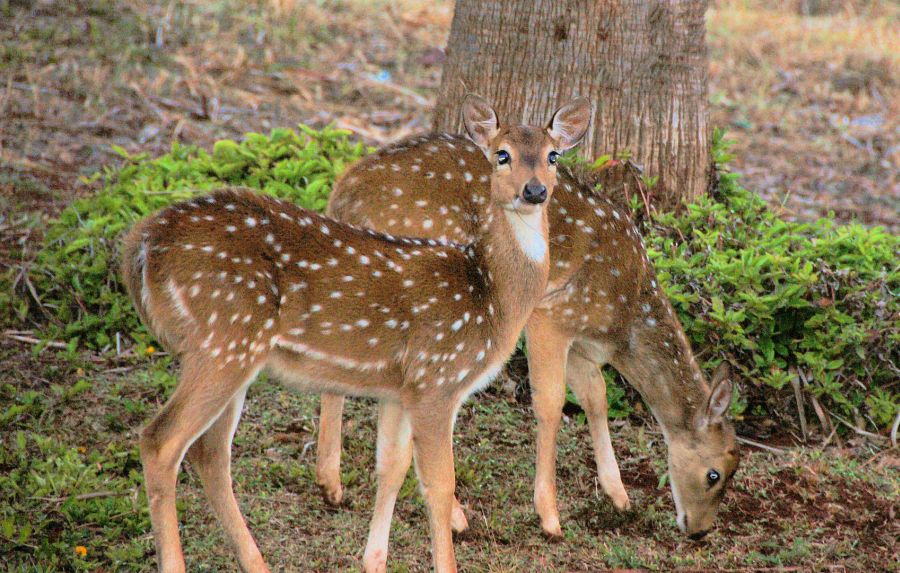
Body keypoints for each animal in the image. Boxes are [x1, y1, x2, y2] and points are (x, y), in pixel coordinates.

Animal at [121, 95, 596, 572]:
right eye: (502, 154)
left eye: (553, 156)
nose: (534, 191)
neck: (489, 296)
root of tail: (140, 247)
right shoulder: (436, 379)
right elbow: (439, 485)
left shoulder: (399, 389)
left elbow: (390, 467)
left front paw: (374, 560)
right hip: (223, 339)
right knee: (160, 442)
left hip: (230, 351)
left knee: (210, 453)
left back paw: (257, 562)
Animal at [316, 133, 740, 536]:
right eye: (713, 474)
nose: (699, 531)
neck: (624, 320)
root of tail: (343, 194)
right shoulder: (552, 314)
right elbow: (552, 404)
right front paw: (550, 517)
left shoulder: (581, 346)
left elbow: (596, 397)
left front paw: (618, 495)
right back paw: (454, 516)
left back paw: (331, 484)